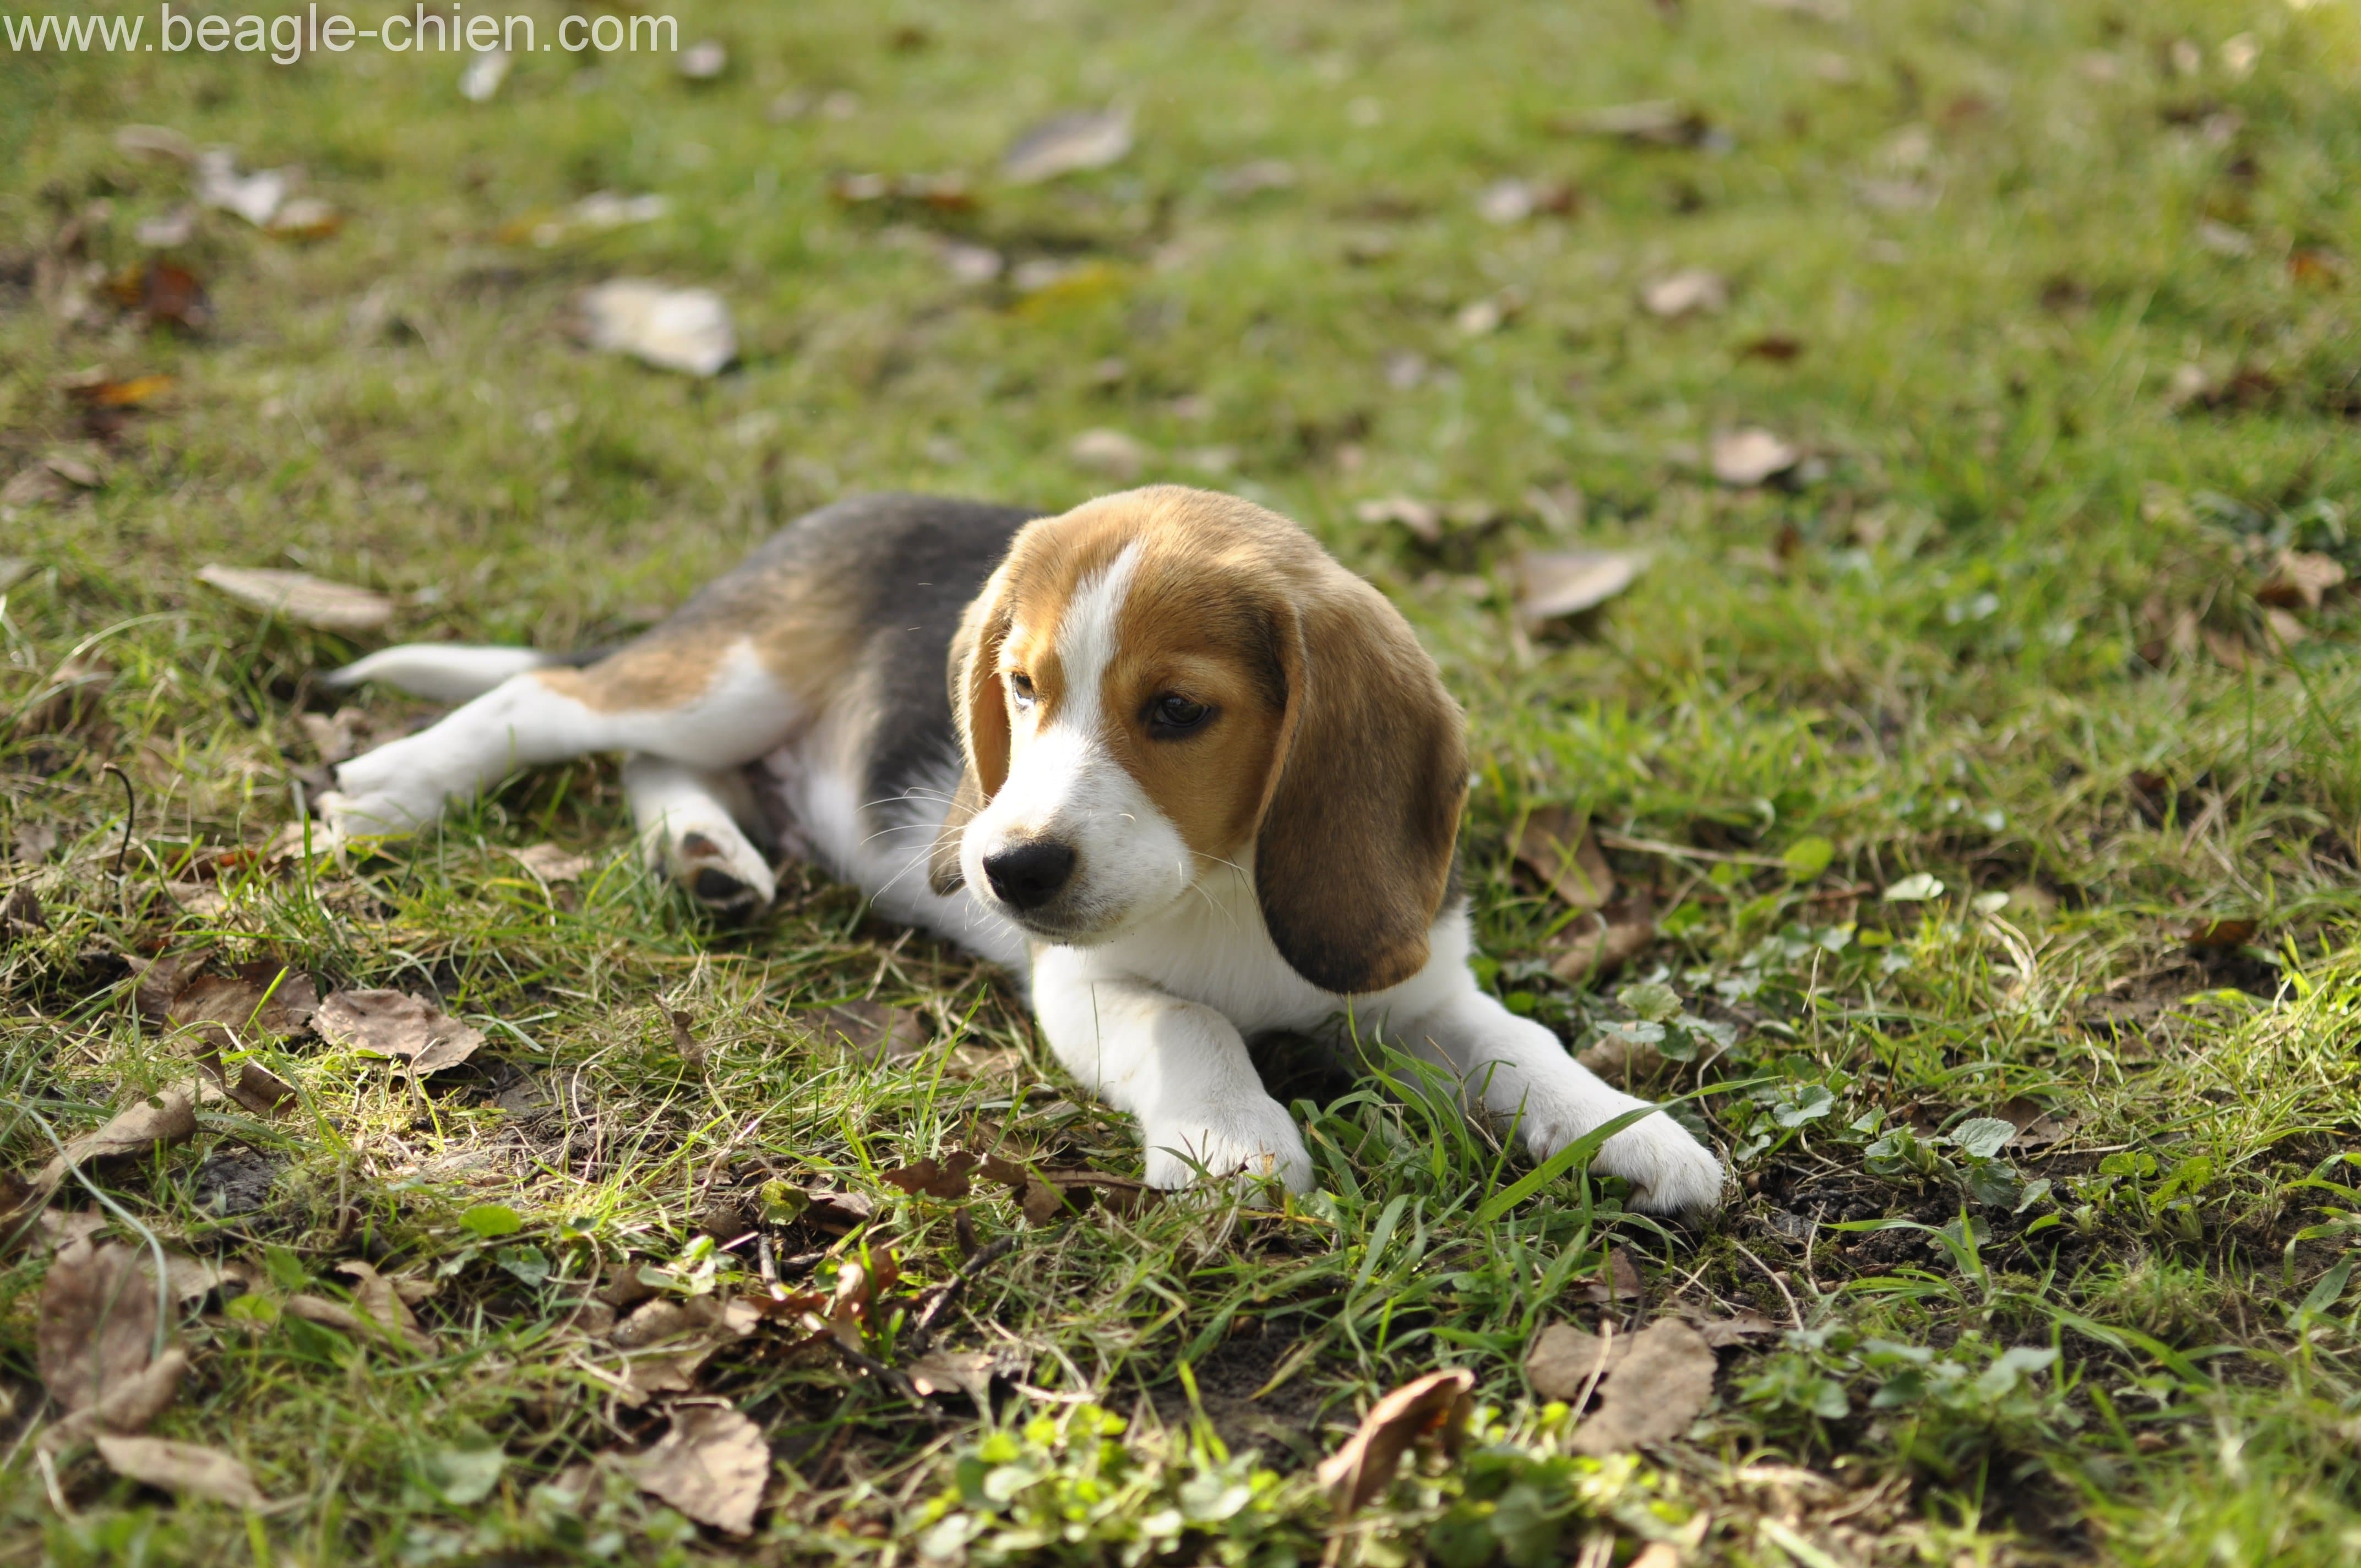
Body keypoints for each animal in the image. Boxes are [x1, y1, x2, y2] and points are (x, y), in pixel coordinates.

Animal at [323, 486, 1728, 1209]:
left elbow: (1518, 1042)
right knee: (554, 702)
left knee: (663, 768)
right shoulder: (1084, 980)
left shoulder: (1411, 979)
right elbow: (1188, 1021)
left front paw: (1628, 1129)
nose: (1007, 871)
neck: (1222, 885)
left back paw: (707, 854)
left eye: (1177, 711)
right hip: (728, 674)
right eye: (1020, 687)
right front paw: (1233, 1138)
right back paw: (392, 788)